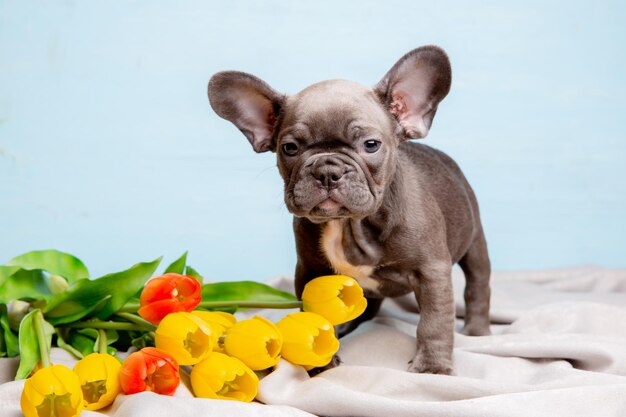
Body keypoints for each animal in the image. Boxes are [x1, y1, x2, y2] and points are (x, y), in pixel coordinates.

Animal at [207, 45, 490, 374]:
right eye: (289, 148)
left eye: (371, 144)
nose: (328, 170)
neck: (349, 224)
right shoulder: (312, 272)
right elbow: (316, 317)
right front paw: (321, 361)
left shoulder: (431, 271)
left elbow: (434, 321)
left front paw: (432, 367)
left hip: (475, 243)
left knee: (477, 286)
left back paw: (477, 331)